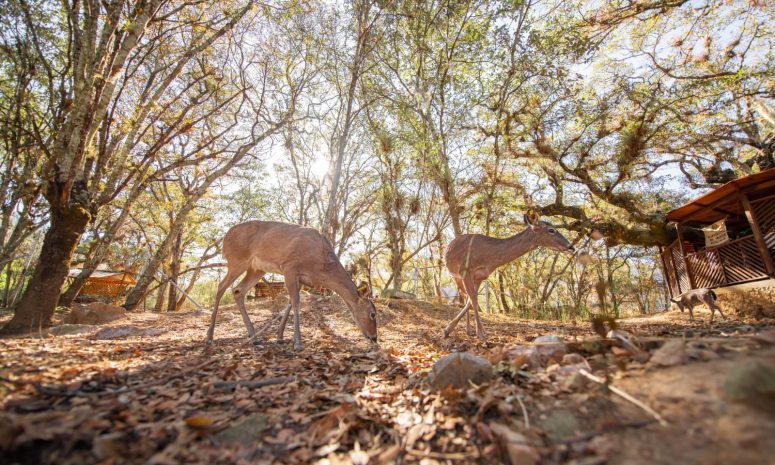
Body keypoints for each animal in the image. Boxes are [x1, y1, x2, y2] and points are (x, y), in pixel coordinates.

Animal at [205, 221, 378, 348]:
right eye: (373, 314)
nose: (374, 337)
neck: (320, 267)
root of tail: (224, 239)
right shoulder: (289, 266)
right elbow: (296, 302)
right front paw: (298, 342)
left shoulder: (301, 279)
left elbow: (290, 302)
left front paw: (280, 336)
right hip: (237, 260)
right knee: (221, 287)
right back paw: (209, 336)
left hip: (257, 269)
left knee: (238, 291)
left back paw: (254, 338)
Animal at [442, 212, 576, 338]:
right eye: (551, 230)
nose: (571, 247)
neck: (488, 257)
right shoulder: (465, 270)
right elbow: (473, 298)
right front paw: (479, 333)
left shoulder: (481, 275)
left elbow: (472, 300)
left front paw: (455, 329)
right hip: (454, 275)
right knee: (465, 295)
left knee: (466, 298)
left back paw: (468, 330)